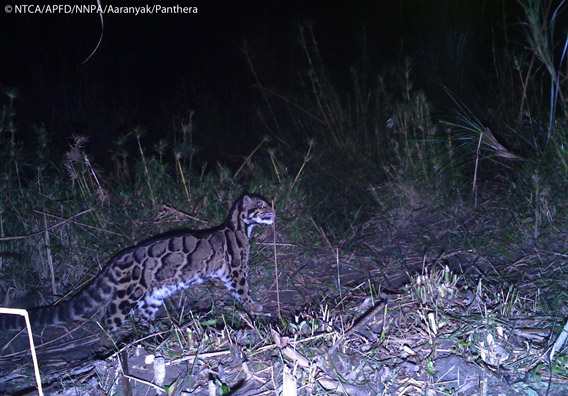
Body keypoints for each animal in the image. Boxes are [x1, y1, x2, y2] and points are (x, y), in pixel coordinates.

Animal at [0, 193, 276, 332]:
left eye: (269, 203)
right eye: (262, 206)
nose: (274, 211)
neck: (240, 227)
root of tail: (116, 260)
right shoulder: (236, 270)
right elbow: (243, 292)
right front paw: (254, 306)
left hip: (153, 295)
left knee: (143, 316)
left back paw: (149, 334)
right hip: (128, 294)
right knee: (108, 320)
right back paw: (111, 346)